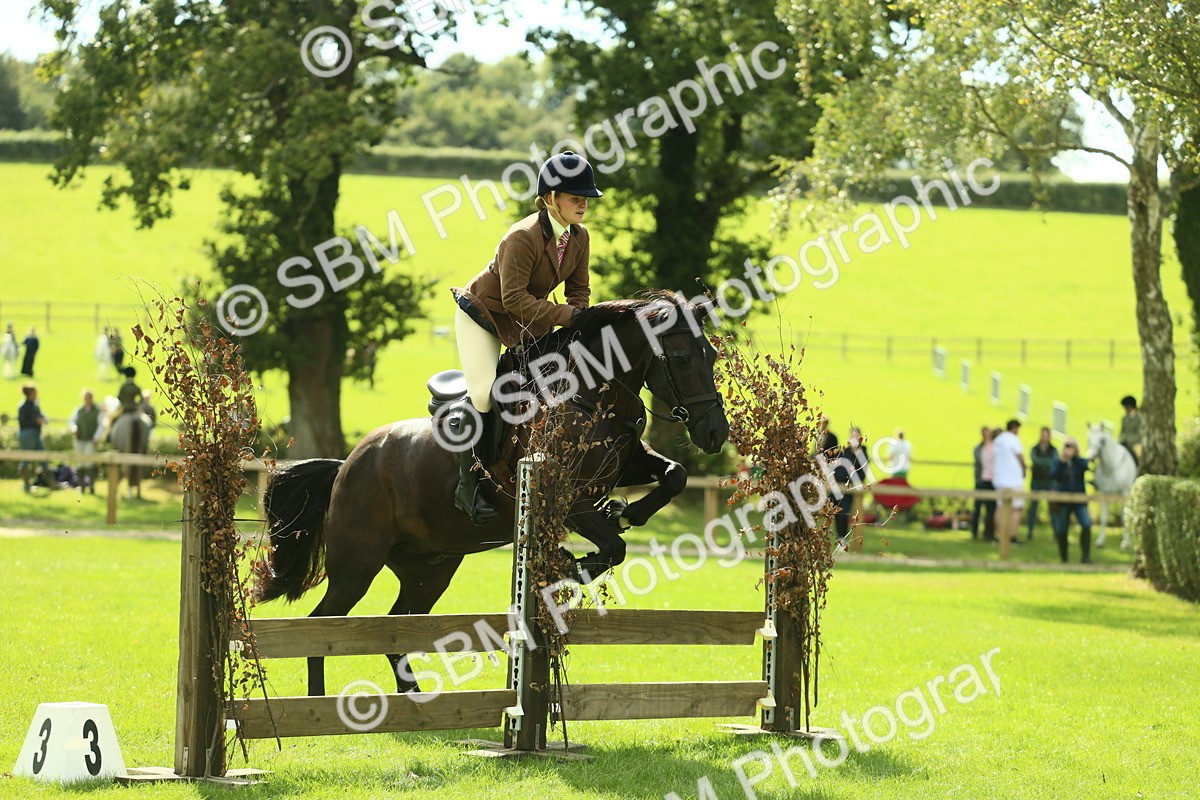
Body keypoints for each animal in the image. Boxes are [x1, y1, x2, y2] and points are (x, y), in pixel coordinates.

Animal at [254, 295, 730, 696]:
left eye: (711, 356)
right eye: (682, 358)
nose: (715, 433)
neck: (590, 396)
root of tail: (345, 466)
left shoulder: (626, 464)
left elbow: (675, 476)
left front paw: (626, 512)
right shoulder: (563, 497)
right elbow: (612, 547)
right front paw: (572, 562)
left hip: (430, 568)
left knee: (397, 628)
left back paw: (413, 702)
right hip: (357, 563)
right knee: (323, 623)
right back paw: (316, 702)